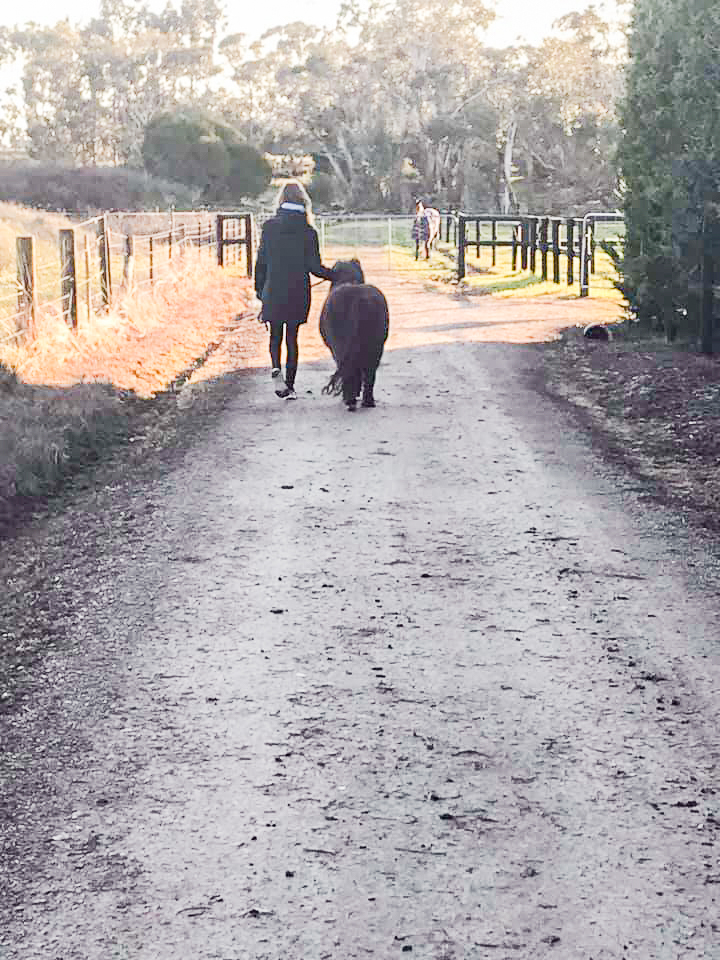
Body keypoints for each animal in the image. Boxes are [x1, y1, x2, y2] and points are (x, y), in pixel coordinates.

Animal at [320, 260, 388, 410]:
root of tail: (359, 298)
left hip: (340, 345)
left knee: (349, 369)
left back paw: (349, 400)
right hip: (376, 346)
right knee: (369, 372)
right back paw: (368, 401)